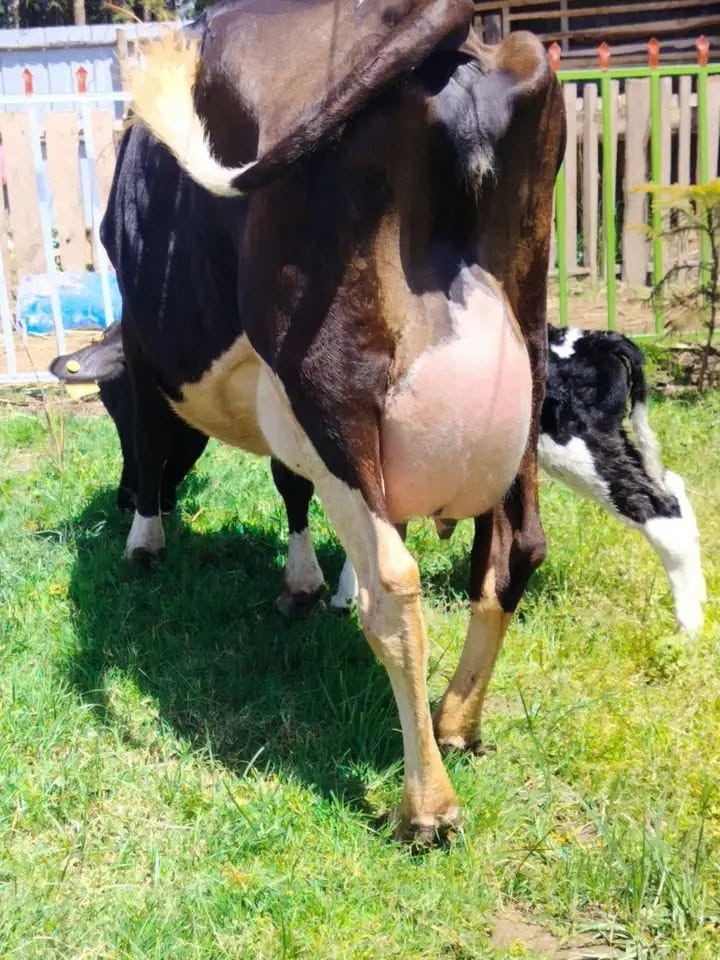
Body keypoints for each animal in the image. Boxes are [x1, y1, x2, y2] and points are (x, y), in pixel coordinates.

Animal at [93, 0, 566, 843]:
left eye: (107, 410)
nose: (114, 500)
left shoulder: (153, 353)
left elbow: (152, 443)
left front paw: (144, 539)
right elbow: (291, 486)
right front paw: (310, 582)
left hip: (328, 384)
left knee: (396, 587)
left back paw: (427, 803)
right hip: (526, 359)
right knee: (515, 552)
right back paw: (457, 719)